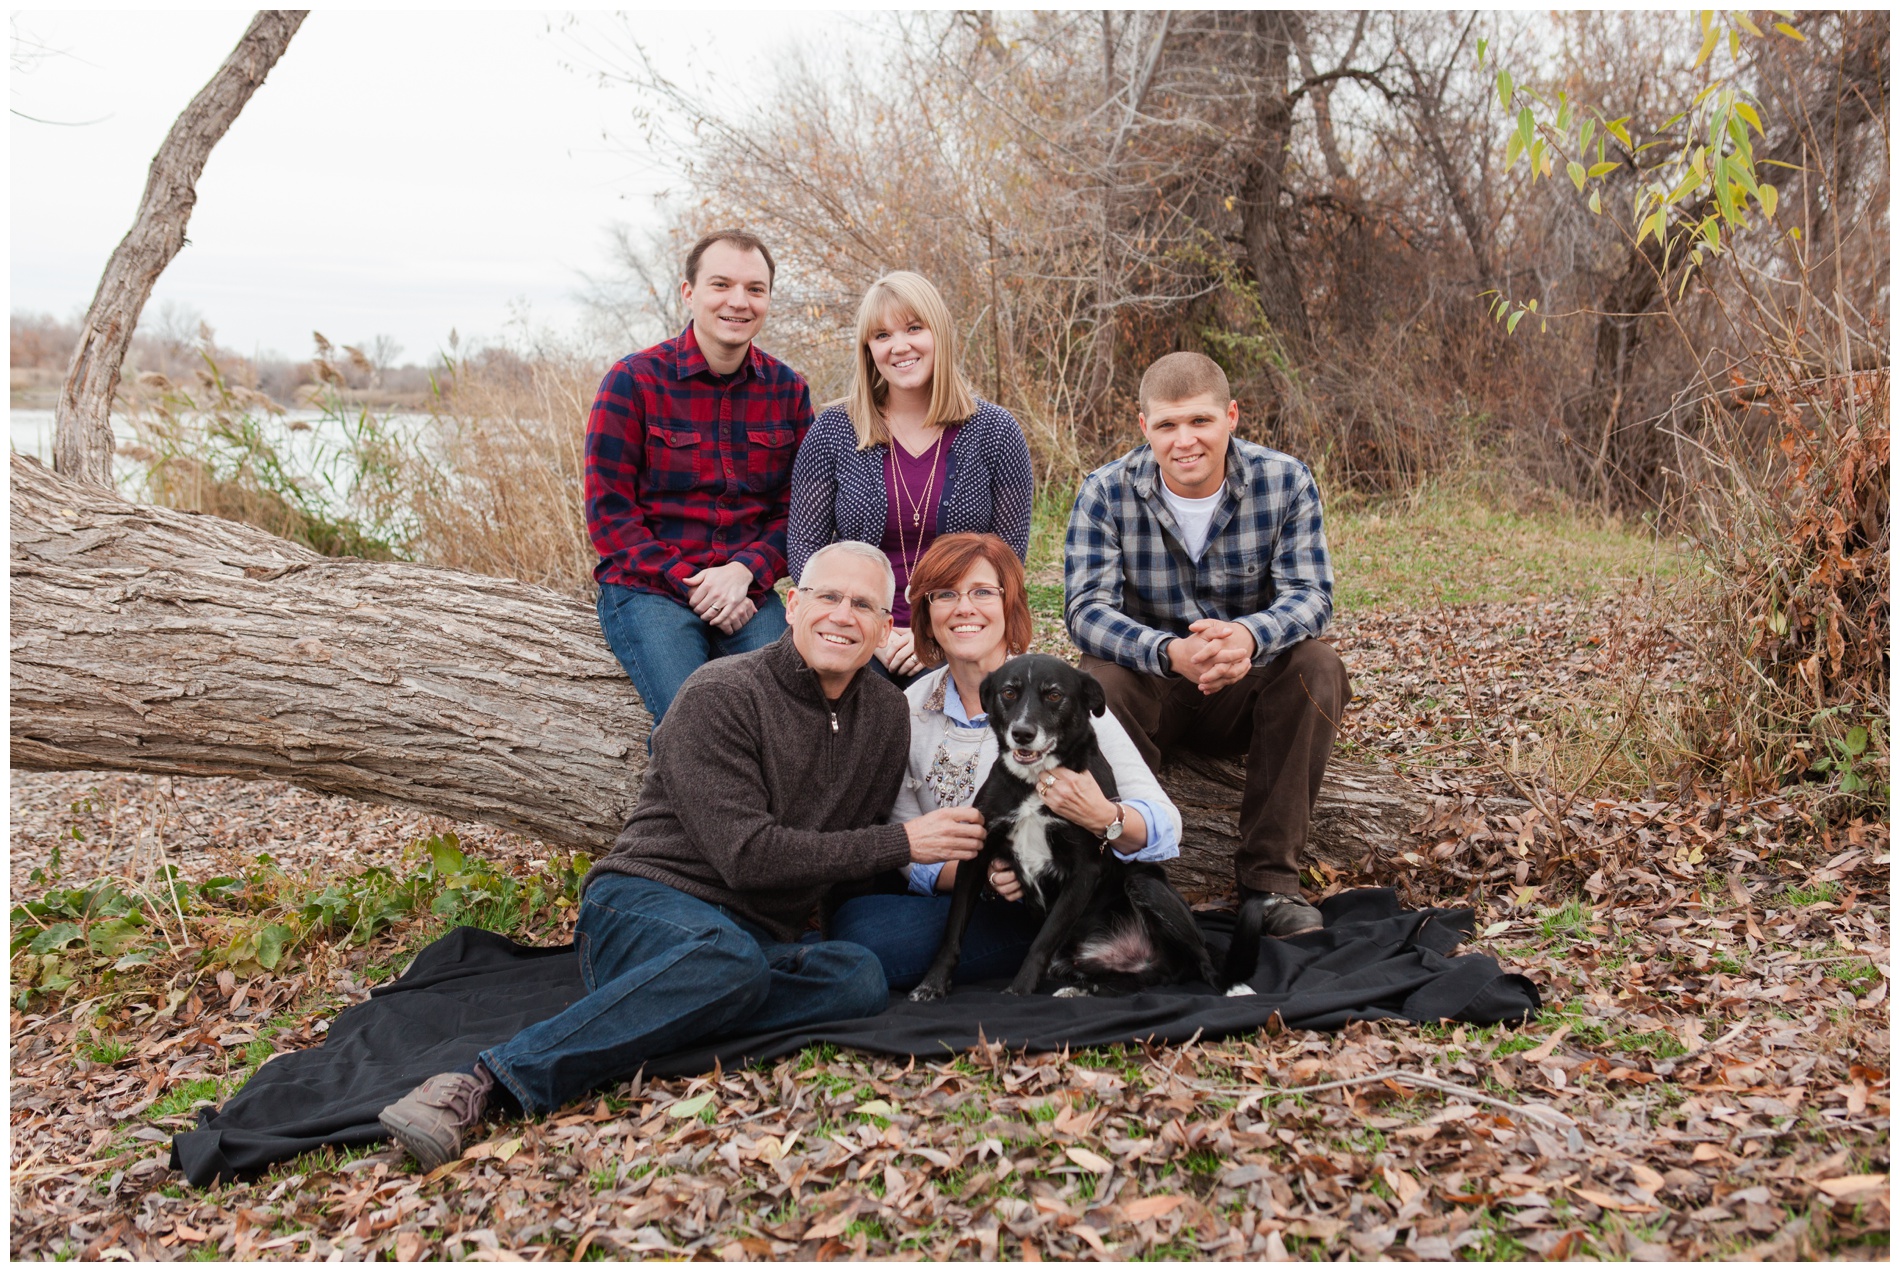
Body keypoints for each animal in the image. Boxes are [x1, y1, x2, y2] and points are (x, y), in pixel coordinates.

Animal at [904, 654, 1261, 1003]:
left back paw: (1231, 986)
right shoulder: (976, 855)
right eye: (1008, 692)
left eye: (1054, 695)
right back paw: (1083, 989)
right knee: (1143, 981)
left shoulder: (1084, 870)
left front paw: (1018, 993)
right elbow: (952, 933)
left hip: (1147, 885)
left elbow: (1043, 940)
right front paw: (932, 984)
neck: (1035, 782)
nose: (1022, 733)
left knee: (1201, 958)